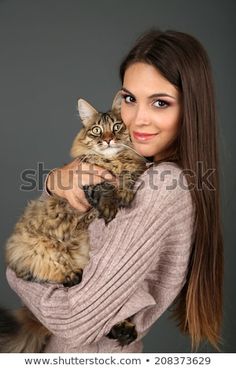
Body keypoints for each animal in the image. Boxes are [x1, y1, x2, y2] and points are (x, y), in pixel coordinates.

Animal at [0, 92, 148, 350]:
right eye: (97, 130)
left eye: (117, 127)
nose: (108, 140)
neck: (114, 161)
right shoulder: (88, 182)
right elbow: (106, 187)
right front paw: (110, 205)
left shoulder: (131, 167)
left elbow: (127, 177)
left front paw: (124, 192)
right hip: (38, 251)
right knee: (41, 274)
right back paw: (70, 277)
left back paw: (123, 328)